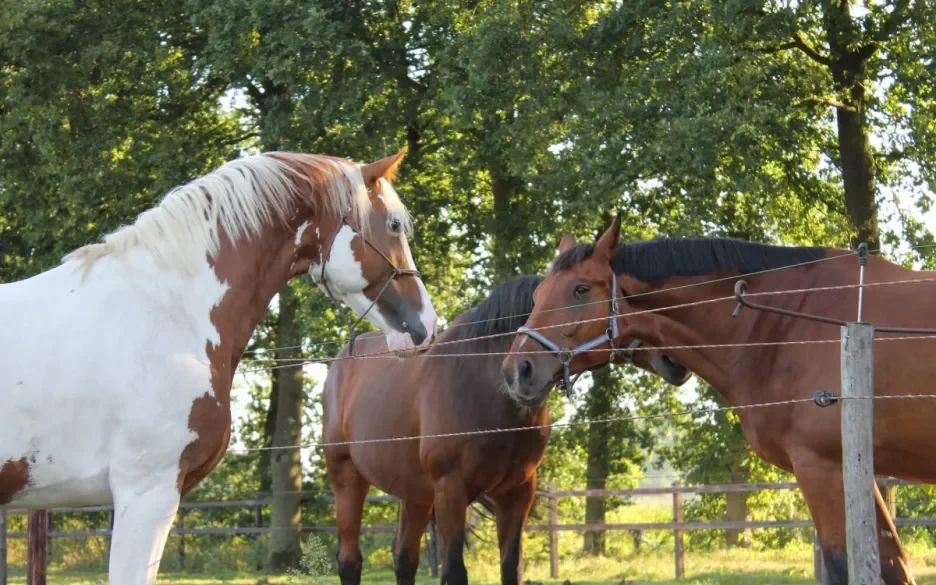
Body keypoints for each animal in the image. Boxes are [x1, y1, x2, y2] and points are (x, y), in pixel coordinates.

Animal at [322, 268, 688, 584]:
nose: (676, 357)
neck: (486, 385)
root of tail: (342, 360)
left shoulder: (516, 492)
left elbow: (512, 567)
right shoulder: (450, 489)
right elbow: (454, 572)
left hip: (415, 492)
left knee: (404, 558)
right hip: (347, 478)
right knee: (350, 561)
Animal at [508, 217, 936, 584]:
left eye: (580, 289)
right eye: (536, 295)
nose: (517, 370)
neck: (788, 323)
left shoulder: (824, 468)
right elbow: (894, 565)